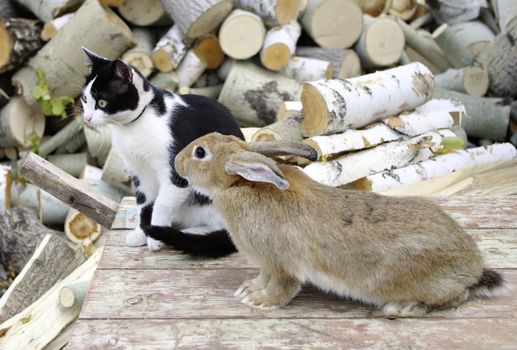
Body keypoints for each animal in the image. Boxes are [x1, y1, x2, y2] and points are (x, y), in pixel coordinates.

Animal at [80, 48, 242, 258]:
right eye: (85, 99)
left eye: (102, 102)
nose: (87, 118)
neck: (133, 128)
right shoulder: (139, 171)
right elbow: (145, 203)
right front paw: (141, 233)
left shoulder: (177, 171)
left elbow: (161, 204)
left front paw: (156, 235)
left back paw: (190, 234)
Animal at [149, 131, 504, 318]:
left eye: (200, 152)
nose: (177, 161)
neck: (242, 184)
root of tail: (472, 267)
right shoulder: (266, 264)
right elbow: (262, 278)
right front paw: (249, 289)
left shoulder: (281, 264)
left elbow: (281, 288)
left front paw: (260, 302)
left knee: (457, 297)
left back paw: (404, 307)